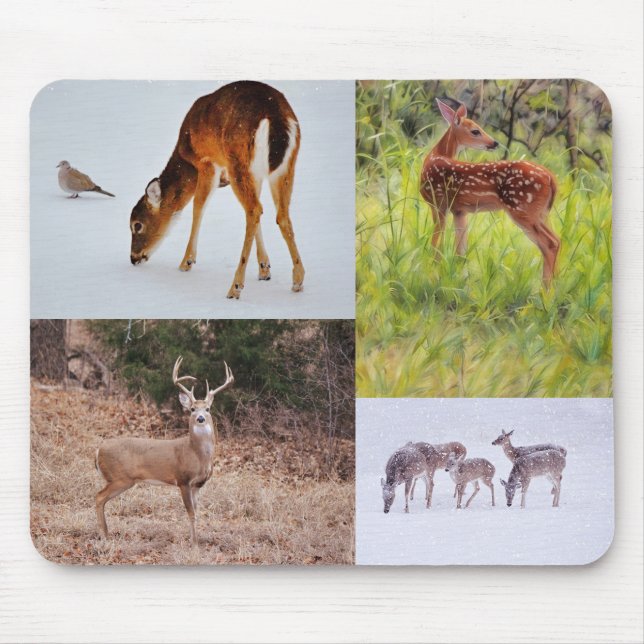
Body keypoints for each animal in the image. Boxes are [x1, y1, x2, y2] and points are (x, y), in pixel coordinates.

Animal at [95, 356, 234, 545]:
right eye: (192, 409)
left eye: (208, 408)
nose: (200, 418)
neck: (197, 455)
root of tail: (98, 450)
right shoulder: (182, 480)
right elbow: (190, 512)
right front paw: (194, 542)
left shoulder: (197, 484)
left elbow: (197, 512)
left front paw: (196, 538)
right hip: (119, 477)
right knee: (99, 497)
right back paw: (105, 535)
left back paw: (106, 534)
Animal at [129, 81, 304, 300]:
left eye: (137, 225)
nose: (133, 258)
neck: (186, 156)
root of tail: (275, 117)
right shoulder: (253, 175)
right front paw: (264, 268)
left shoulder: (207, 162)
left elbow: (198, 206)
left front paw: (186, 262)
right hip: (284, 166)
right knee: (278, 214)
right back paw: (297, 280)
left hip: (238, 160)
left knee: (254, 209)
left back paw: (235, 287)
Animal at [420, 98, 560, 284]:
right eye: (475, 130)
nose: (494, 143)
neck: (434, 157)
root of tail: (551, 178)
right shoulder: (458, 210)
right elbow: (460, 250)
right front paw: (457, 279)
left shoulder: (438, 203)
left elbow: (437, 242)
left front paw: (433, 272)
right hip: (542, 213)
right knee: (555, 240)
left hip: (522, 209)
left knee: (550, 243)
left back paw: (545, 288)